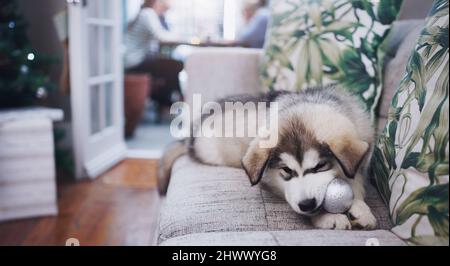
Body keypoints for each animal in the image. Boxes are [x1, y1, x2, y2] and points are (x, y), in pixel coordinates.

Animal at [158, 85, 376, 231]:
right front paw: (328, 217)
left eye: (320, 165)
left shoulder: (359, 162)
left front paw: (362, 209)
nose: (307, 204)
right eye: (286, 170)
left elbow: (355, 181)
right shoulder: (275, 184)